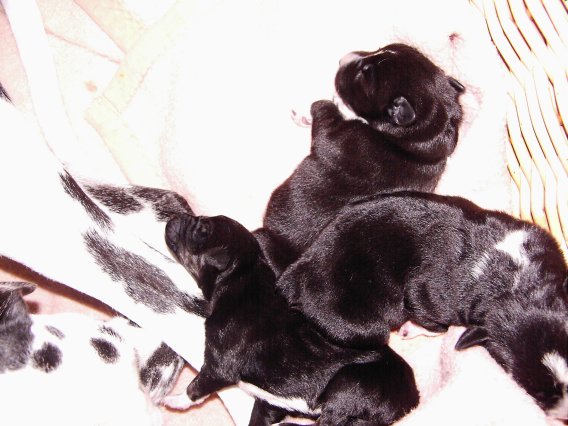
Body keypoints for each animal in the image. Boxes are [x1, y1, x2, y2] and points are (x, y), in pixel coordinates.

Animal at [163, 213, 420, 425]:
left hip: (352, 383)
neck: (243, 276)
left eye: (201, 230)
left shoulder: (219, 366)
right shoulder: (268, 402)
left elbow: (197, 387)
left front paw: (175, 400)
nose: (174, 217)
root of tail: (412, 400)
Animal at [273, 191, 568, 421]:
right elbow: (435, 324)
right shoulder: (425, 295)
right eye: (537, 394)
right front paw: (412, 329)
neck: (517, 282)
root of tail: (296, 272)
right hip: (361, 327)